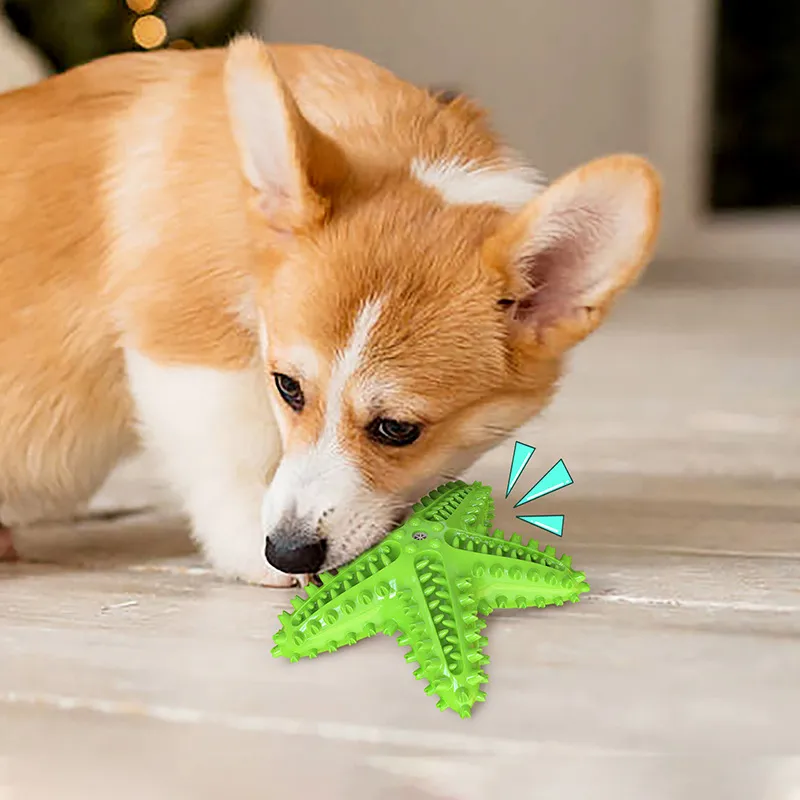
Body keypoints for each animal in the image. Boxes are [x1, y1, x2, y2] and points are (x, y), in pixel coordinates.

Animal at [0, 36, 664, 588]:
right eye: (287, 387)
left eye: (397, 430)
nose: (287, 551)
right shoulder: (188, 348)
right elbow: (231, 456)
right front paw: (252, 552)